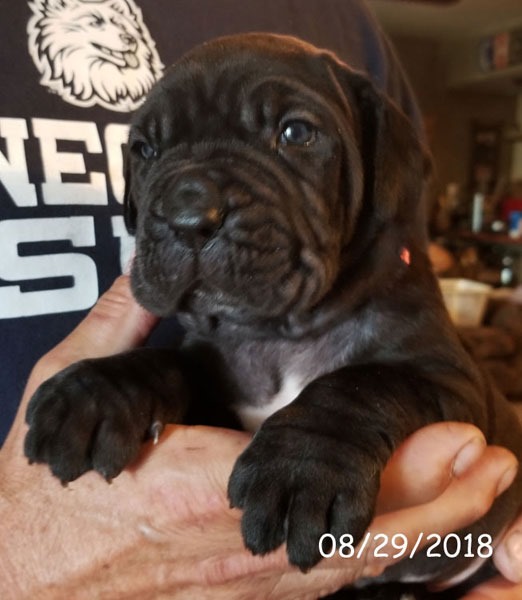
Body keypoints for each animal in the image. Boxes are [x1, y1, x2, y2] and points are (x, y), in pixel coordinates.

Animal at [24, 33, 522, 597]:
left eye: (296, 132)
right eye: (145, 150)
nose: (187, 215)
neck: (277, 334)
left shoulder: (450, 382)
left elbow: (361, 384)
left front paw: (304, 466)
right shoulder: (212, 381)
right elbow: (164, 362)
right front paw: (93, 391)